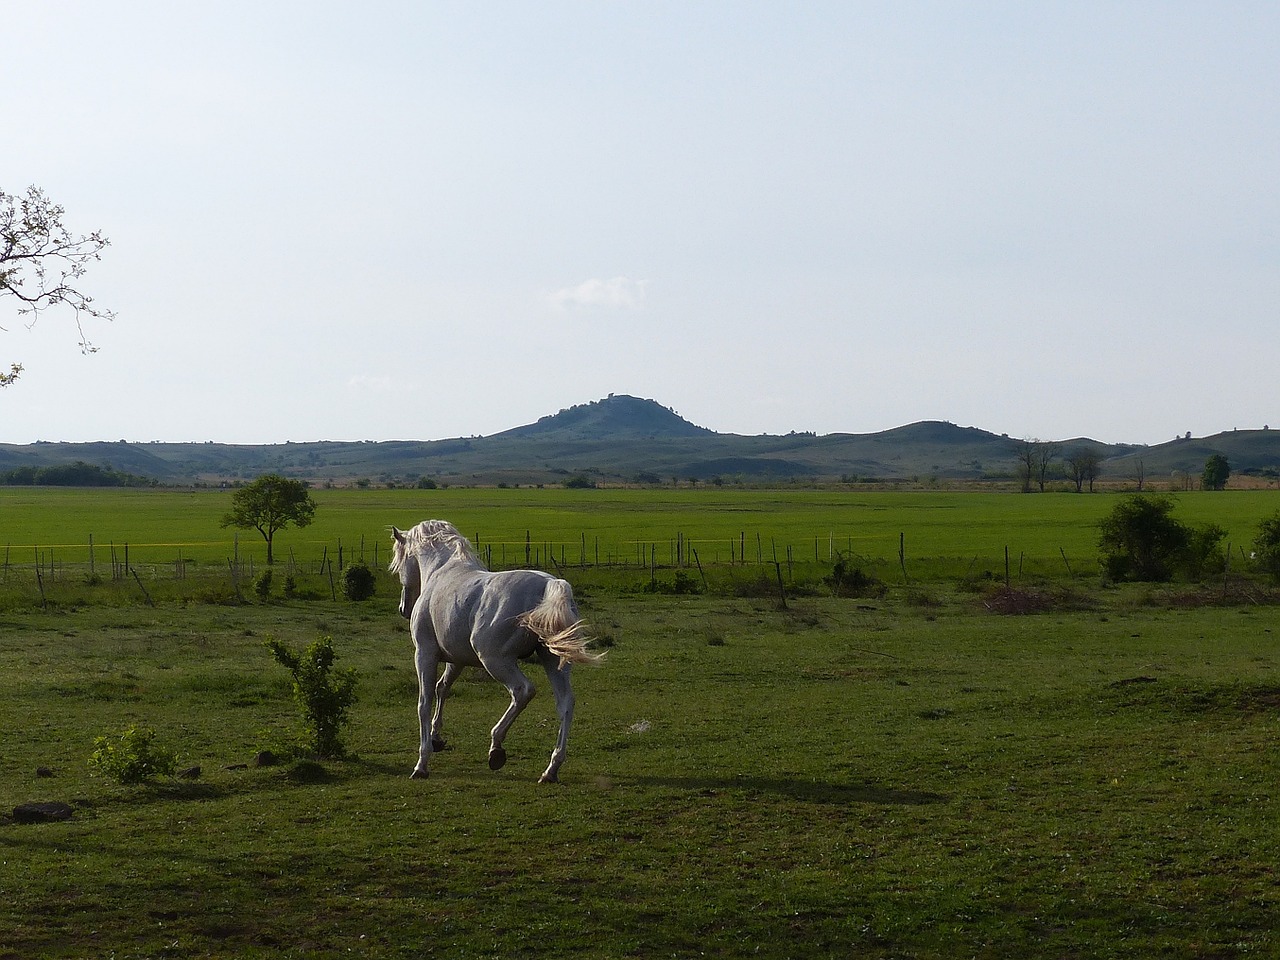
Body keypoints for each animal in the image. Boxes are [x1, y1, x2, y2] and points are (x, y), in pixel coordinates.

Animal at [384, 522, 604, 783]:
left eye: (400, 562)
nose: (403, 608)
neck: (442, 571)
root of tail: (548, 585)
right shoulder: (456, 660)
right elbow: (442, 688)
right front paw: (437, 738)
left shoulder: (425, 654)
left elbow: (424, 701)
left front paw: (422, 763)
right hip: (553, 660)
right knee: (565, 704)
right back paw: (551, 769)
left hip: (496, 660)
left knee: (523, 691)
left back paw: (496, 748)